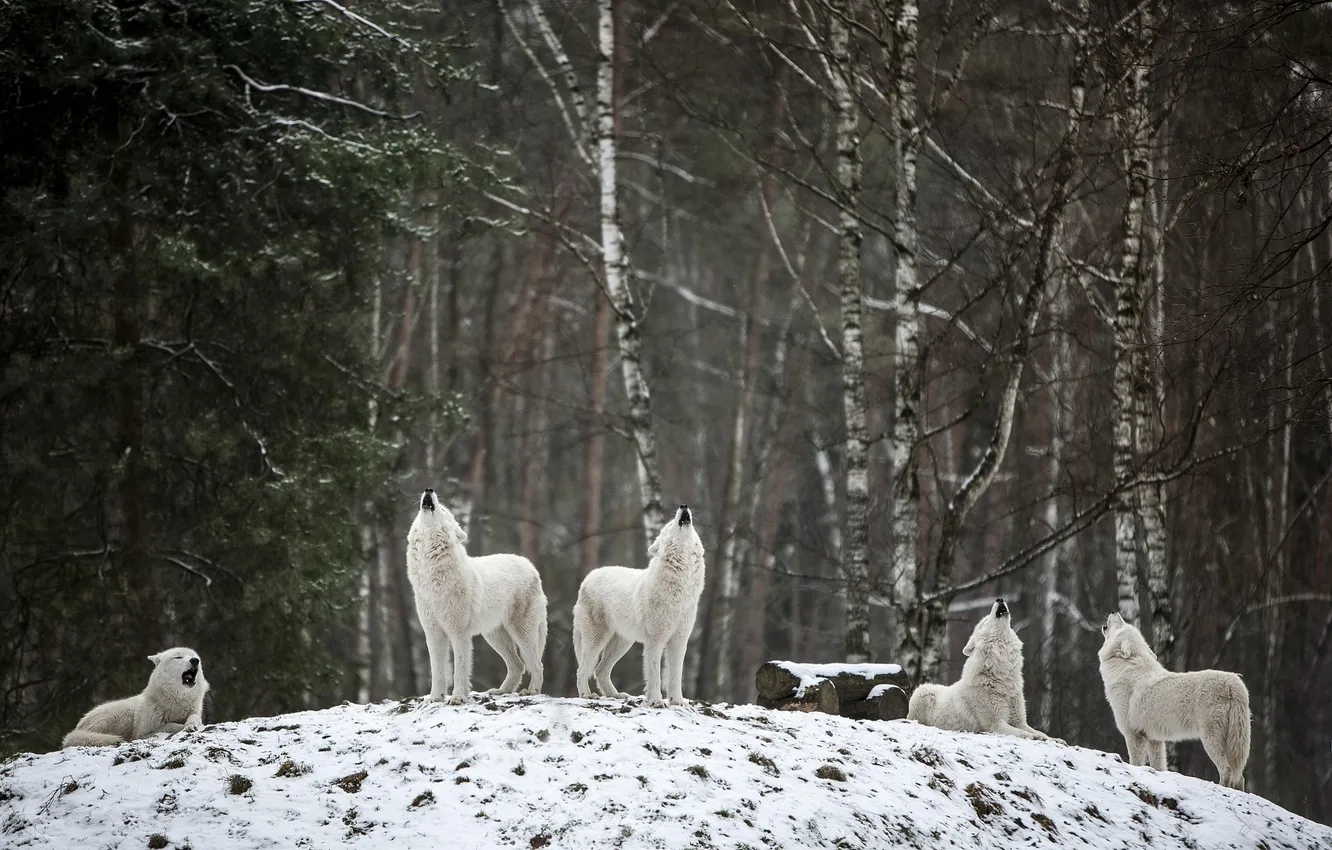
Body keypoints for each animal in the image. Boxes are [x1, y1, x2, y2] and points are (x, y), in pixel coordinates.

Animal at [62, 648, 208, 748]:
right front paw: (181, 726)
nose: (195, 660)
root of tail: (77, 728)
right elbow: (170, 725)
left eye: (194, 657)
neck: (177, 701)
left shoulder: (194, 711)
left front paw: (191, 725)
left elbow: (195, 717)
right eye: (178, 657)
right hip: (121, 715)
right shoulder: (143, 733)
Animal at [407, 488, 548, 704]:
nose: (429, 490)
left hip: (521, 633)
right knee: (518, 665)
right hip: (494, 636)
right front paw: (435, 698)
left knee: (537, 665)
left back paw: (532, 691)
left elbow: (459, 669)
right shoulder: (433, 633)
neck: (432, 576)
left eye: (444, 510)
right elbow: (437, 671)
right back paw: (501, 691)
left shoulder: (459, 633)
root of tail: (531, 567)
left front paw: (457, 697)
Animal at [573, 505, 706, 707]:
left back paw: (616, 695)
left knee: (600, 670)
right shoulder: (655, 640)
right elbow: (655, 674)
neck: (680, 588)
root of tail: (588, 578)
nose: (683, 506)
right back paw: (587, 695)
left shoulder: (679, 641)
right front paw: (657, 701)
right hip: (597, 640)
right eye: (669, 525)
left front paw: (677, 701)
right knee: (582, 669)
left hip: (622, 643)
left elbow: (676, 676)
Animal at [908, 599, 1060, 742]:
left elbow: (1039, 732)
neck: (1001, 676)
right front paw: (1037, 737)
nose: (999, 599)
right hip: (923, 691)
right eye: (985, 620)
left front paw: (1055, 739)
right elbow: (1024, 733)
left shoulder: (1019, 721)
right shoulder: (996, 724)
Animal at [1099, 612, 1250, 790]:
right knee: (1239, 777)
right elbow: (1159, 767)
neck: (1127, 668)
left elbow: (1135, 763)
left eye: (1121, 625)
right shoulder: (1154, 740)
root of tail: (1233, 682)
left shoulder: (1133, 734)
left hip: (1210, 739)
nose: (1115, 613)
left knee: (1227, 770)